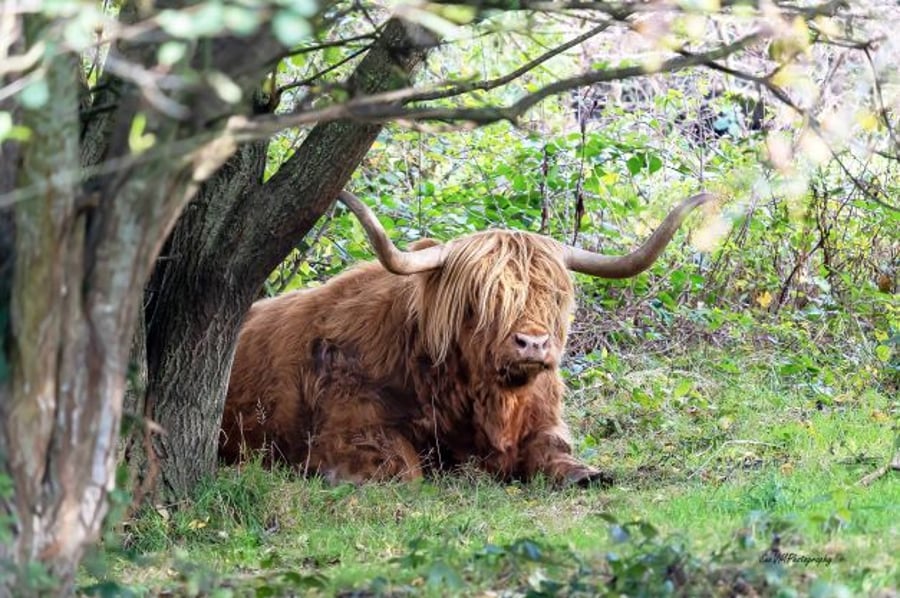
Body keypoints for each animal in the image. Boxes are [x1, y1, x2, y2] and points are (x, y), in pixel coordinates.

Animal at [219, 190, 714, 485]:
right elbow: (405, 469)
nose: (533, 344)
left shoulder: (545, 421)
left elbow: (560, 454)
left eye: (551, 296)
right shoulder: (348, 431)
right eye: (485, 298)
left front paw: (588, 474)